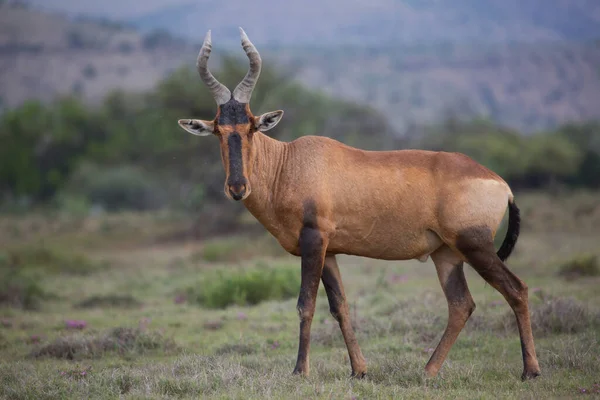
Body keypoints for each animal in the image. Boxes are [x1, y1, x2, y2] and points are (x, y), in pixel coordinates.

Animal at [177, 28, 544, 382]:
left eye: (251, 126)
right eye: (219, 129)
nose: (238, 188)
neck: (290, 161)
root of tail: (501, 184)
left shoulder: (314, 239)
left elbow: (305, 304)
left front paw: (299, 371)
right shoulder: (328, 249)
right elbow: (340, 306)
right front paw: (359, 370)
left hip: (475, 245)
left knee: (517, 289)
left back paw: (530, 371)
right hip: (446, 254)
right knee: (461, 305)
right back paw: (427, 372)